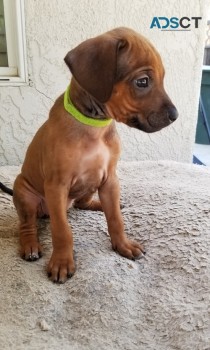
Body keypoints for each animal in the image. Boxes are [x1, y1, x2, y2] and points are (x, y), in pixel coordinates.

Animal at [12, 28, 177, 284]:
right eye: (143, 82)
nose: (175, 115)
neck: (95, 126)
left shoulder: (110, 178)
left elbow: (116, 219)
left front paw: (123, 245)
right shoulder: (56, 185)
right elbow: (62, 230)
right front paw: (61, 262)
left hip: (91, 184)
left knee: (83, 203)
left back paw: (104, 204)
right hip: (24, 192)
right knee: (27, 224)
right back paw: (30, 246)